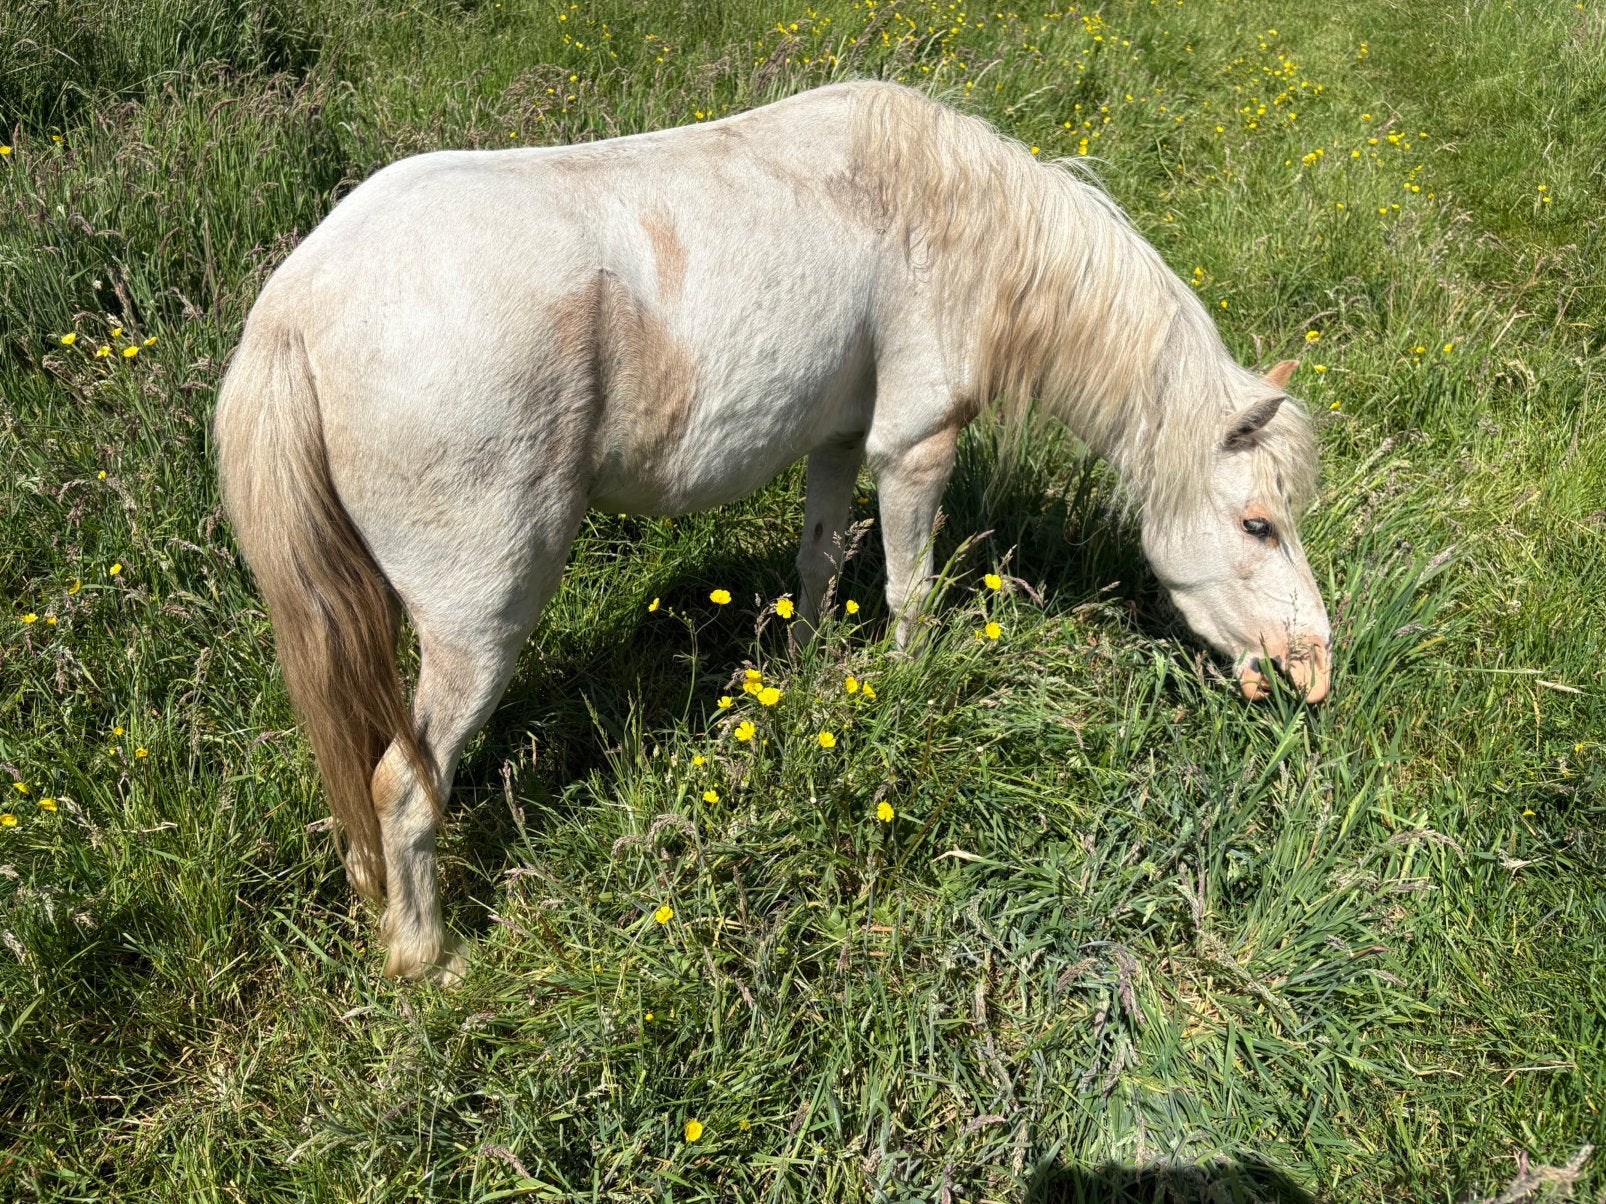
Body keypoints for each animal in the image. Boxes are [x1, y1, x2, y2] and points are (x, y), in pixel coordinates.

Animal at [215, 81, 1332, 981]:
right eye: (1258, 523)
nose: (1313, 669)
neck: (958, 217)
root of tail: (294, 309)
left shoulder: (837, 440)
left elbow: (821, 564)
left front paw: (809, 682)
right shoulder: (913, 446)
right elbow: (908, 589)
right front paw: (908, 691)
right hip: (481, 617)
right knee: (406, 784)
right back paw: (428, 961)